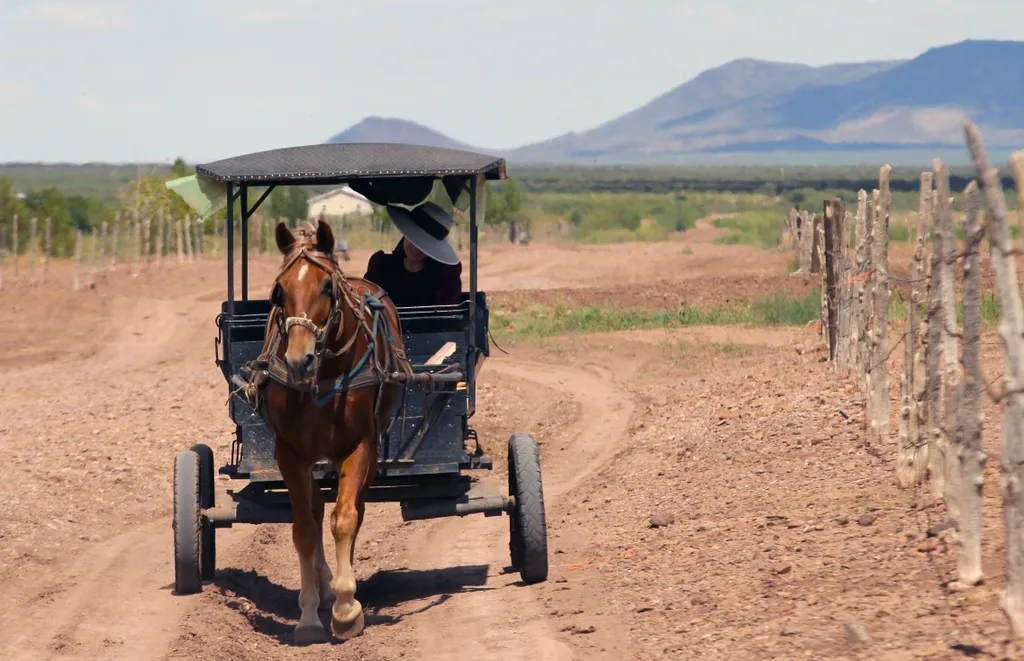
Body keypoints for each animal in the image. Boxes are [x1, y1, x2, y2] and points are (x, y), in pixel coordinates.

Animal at [241, 219, 409, 646]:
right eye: (278, 291)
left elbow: (345, 518)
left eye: (327, 287)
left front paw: (347, 609)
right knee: (316, 508)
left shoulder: (359, 445)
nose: (299, 360)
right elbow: (303, 527)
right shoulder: (290, 452)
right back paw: (323, 585)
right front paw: (308, 615)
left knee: (354, 509)